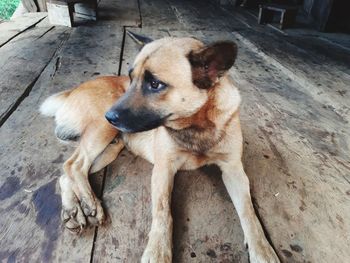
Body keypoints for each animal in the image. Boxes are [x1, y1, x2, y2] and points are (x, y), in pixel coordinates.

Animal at [41, 32, 280, 262]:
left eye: (155, 84)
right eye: (131, 78)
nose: (109, 116)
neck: (196, 126)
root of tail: (71, 91)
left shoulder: (233, 169)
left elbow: (249, 212)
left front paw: (263, 251)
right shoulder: (163, 169)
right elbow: (163, 211)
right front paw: (157, 252)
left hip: (110, 147)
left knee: (69, 172)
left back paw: (73, 209)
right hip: (102, 132)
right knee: (74, 164)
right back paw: (90, 204)